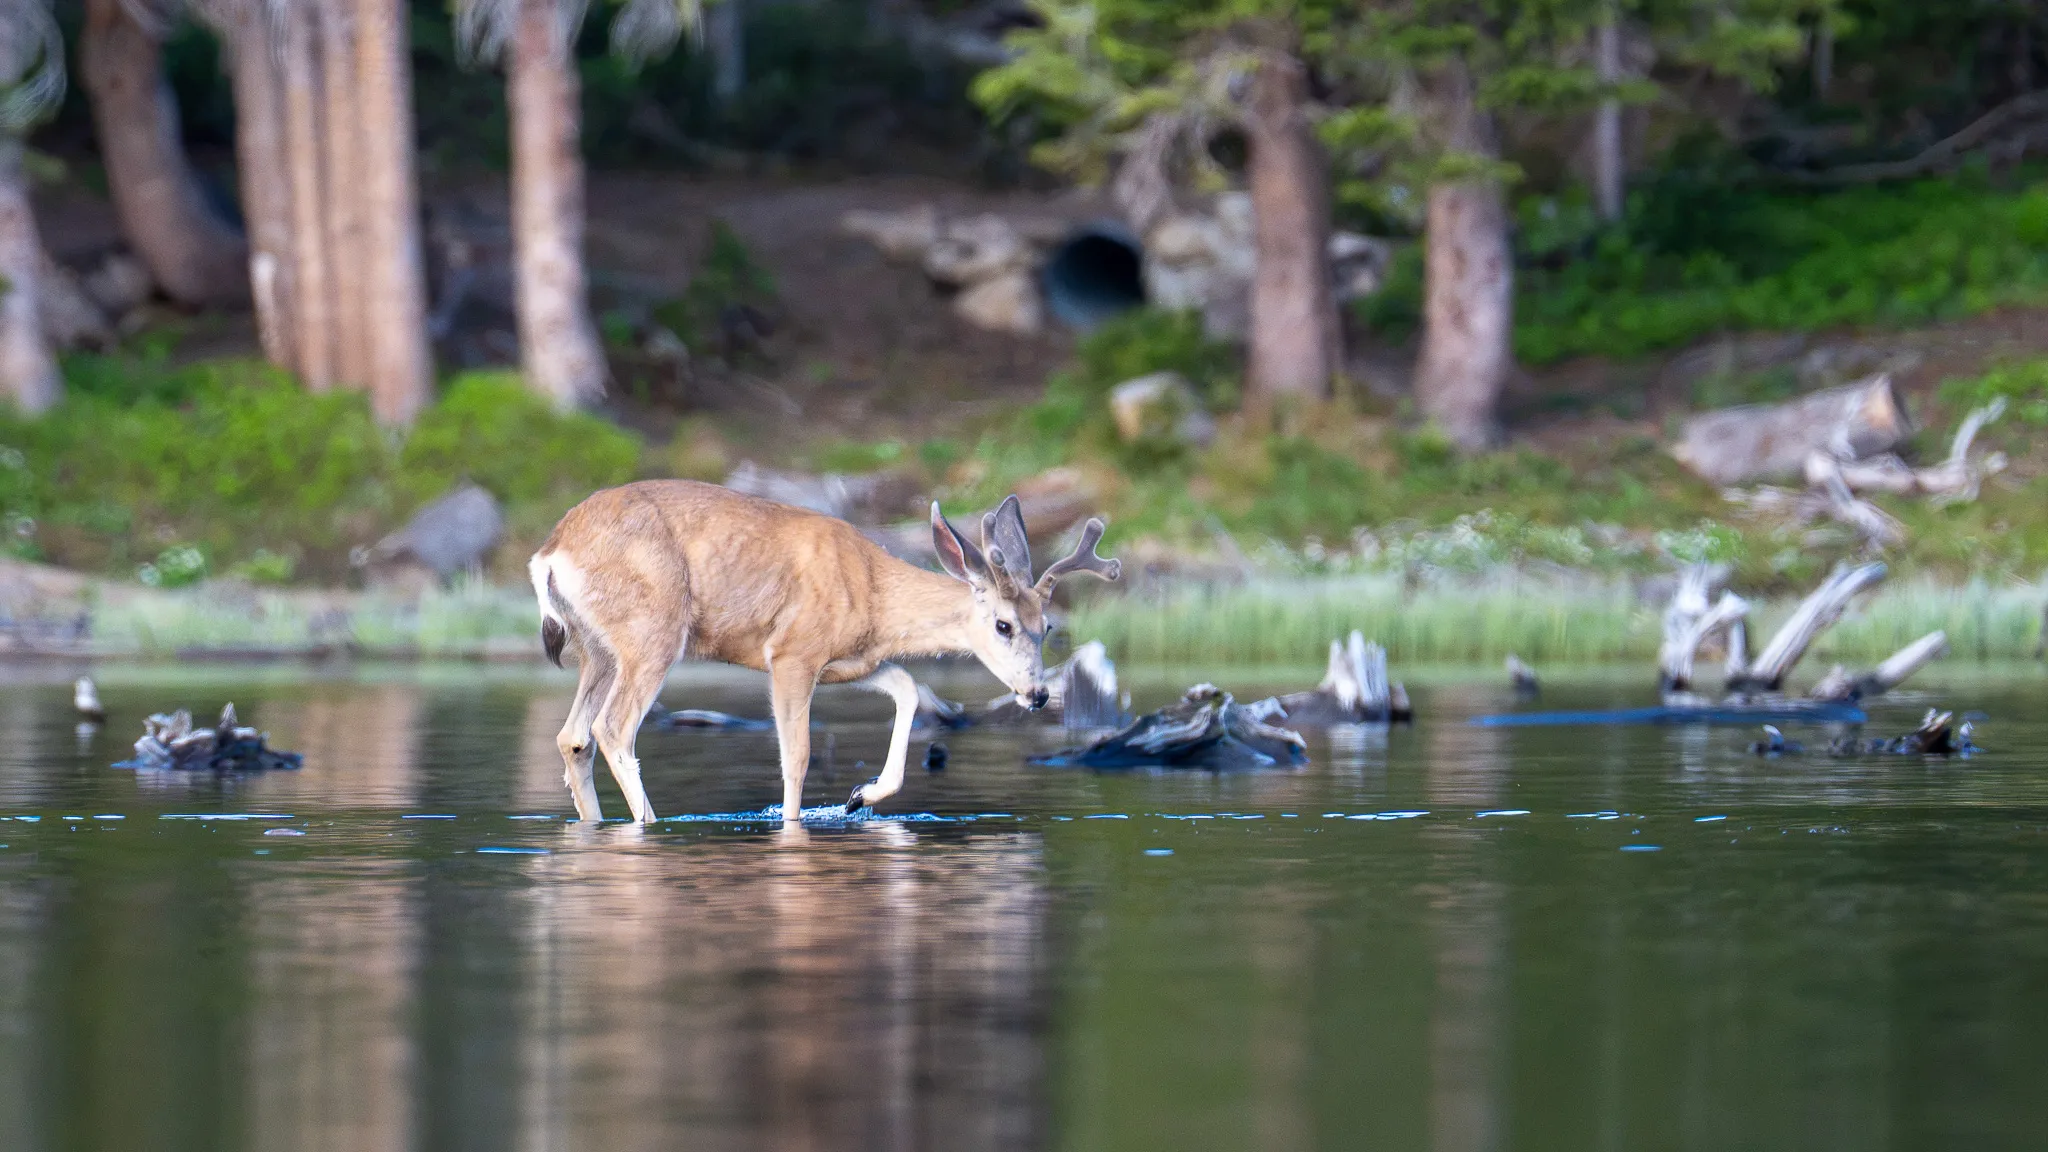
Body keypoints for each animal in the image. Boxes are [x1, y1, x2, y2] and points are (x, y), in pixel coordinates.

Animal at [528, 480, 1120, 824]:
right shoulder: (792, 651)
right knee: (613, 729)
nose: (1037, 694)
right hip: (652, 631)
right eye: (1003, 624)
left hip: (599, 649)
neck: (874, 592)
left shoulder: (849, 661)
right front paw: (797, 824)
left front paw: (863, 795)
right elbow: (797, 757)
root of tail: (549, 553)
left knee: (573, 736)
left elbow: (908, 687)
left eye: (1046, 626)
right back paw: (649, 823)